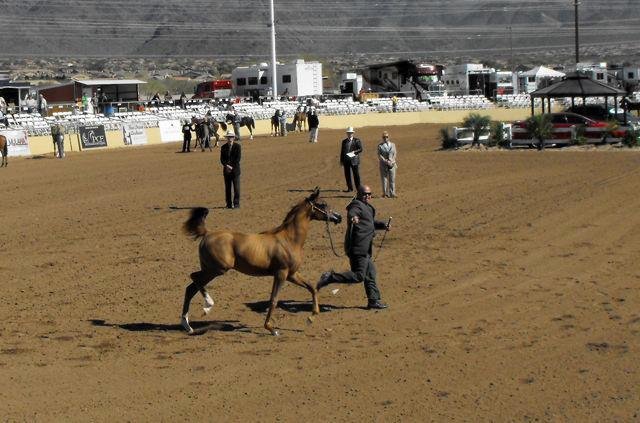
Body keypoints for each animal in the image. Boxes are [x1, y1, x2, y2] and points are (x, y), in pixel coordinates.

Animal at [181, 188, 342, 336]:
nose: (338, 217)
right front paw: (271, 329)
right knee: (194, 278)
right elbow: (274, 300)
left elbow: (312, 288)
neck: (289, 240)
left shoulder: (292, 274)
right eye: (323, 204)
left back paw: (188, 326)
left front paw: (311, 318)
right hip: (217, 269)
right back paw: (208, 305)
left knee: (190, 288)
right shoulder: (281, 274)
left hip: (210, 269)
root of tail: (207, 233)